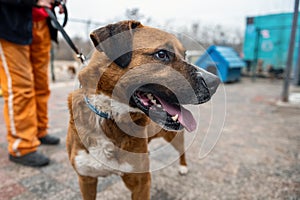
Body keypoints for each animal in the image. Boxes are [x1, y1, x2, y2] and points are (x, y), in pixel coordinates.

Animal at [67, 20, 219, 200]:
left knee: (182, 151)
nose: (216, 82)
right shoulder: (86, 180)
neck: (109, 117)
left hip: (174, 137)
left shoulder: (141, 182)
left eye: (185, 55)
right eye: (162, 54)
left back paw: (183, 166)